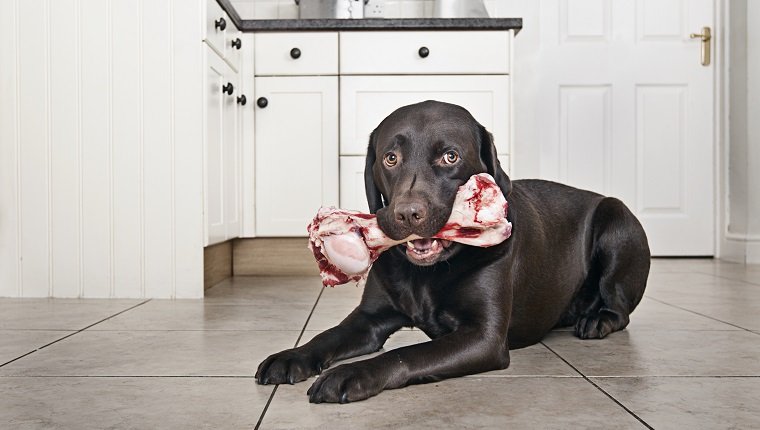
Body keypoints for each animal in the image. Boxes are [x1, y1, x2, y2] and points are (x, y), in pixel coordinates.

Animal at [255, 101, 648, 404]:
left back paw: (596, 320)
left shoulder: (483, 337)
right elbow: (328, 335)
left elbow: (405, 354)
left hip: (617, 222)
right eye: (390, 158)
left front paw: (349, 374)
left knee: (619, 308)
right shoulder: (369, 319)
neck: (428, 273)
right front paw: (291, 356)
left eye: (450, 156)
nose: (407, 214)